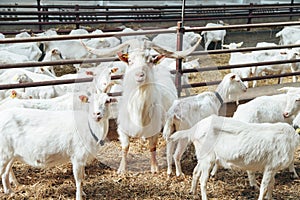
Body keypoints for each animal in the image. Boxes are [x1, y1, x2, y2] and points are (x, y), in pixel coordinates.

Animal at [170, 115, 298, 200]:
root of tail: (194, 129)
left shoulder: (273, 168)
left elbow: (271, 184)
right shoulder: (270, 167)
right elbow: (264, 187)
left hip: (202, 155)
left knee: (196, 171)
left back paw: (193, 192)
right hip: (208, 158)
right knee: (203, 179)